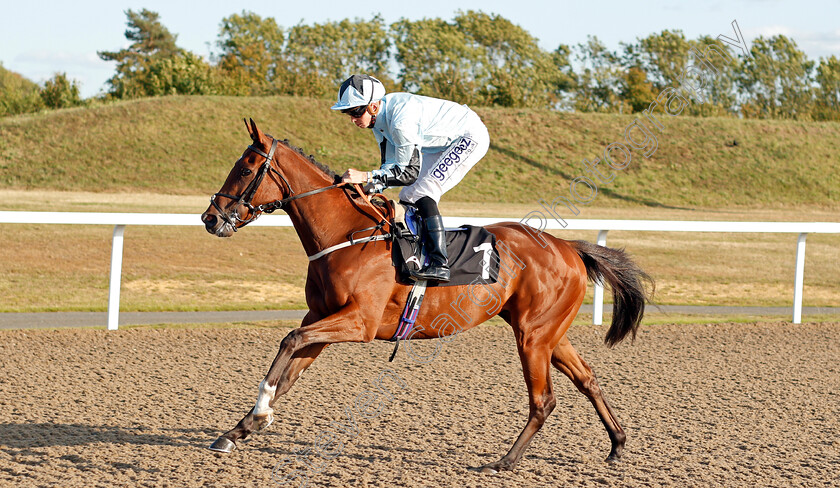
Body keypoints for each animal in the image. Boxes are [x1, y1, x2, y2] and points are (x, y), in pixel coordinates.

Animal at [200, 118, 652, 472]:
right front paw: (240, 428)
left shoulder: (359, 323)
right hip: (549, 333)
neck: (346, 235)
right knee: (587, 378)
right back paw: (617, 444)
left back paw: (504, 461)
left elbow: (288, 341)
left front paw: (259, 414)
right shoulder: (321, 319)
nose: (209, 218)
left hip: (533, 336)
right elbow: (289, 368)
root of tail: (568, 247)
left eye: (245, 169)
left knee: (544, 400)